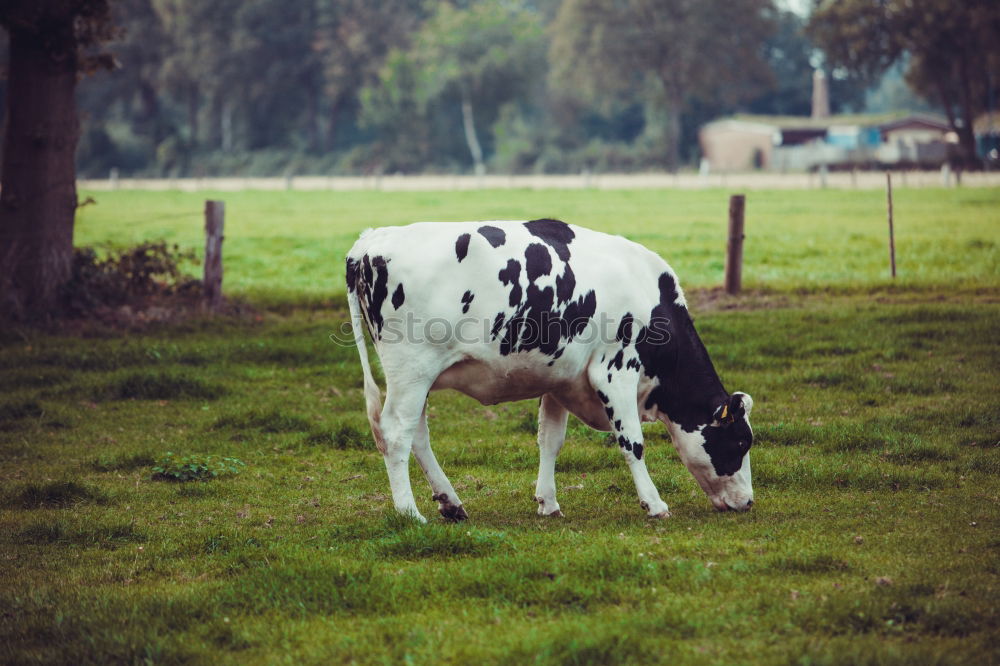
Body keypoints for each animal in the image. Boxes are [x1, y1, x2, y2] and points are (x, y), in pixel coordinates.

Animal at [348, 218, 752, 520]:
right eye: (741, 442)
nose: (749, 502)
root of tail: (371, 240)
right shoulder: (615, 369)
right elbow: (632, 442)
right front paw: (654, 504)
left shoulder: (561, 379)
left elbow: (550, 440)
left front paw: (548, 502)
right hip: (411, 370)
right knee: (396, 433)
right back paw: (409, 512)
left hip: (419, 378)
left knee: (417, 434)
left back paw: (451, 502)